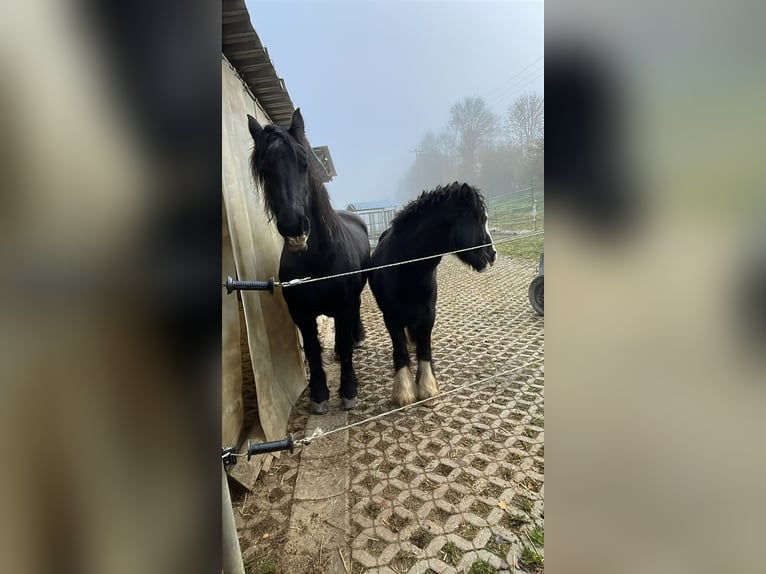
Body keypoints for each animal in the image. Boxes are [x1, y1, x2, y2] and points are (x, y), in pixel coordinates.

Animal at [248, 109, 370, 414]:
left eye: (303, 162)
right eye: (265, 169)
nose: (294, 226)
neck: (318, 261)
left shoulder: (343, 304)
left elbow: (344, 343)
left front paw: (348, 392)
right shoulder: (301, 314)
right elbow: (313, 351)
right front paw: (319, 395)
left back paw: (357, 336)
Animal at [370, 182, 498, 408]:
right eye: (480, 219)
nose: (492, 255)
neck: (406, 268)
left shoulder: (429, 314)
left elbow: (424, 348)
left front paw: (427, 388)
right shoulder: (391, 318)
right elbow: (400, 351)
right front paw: (404, 392)